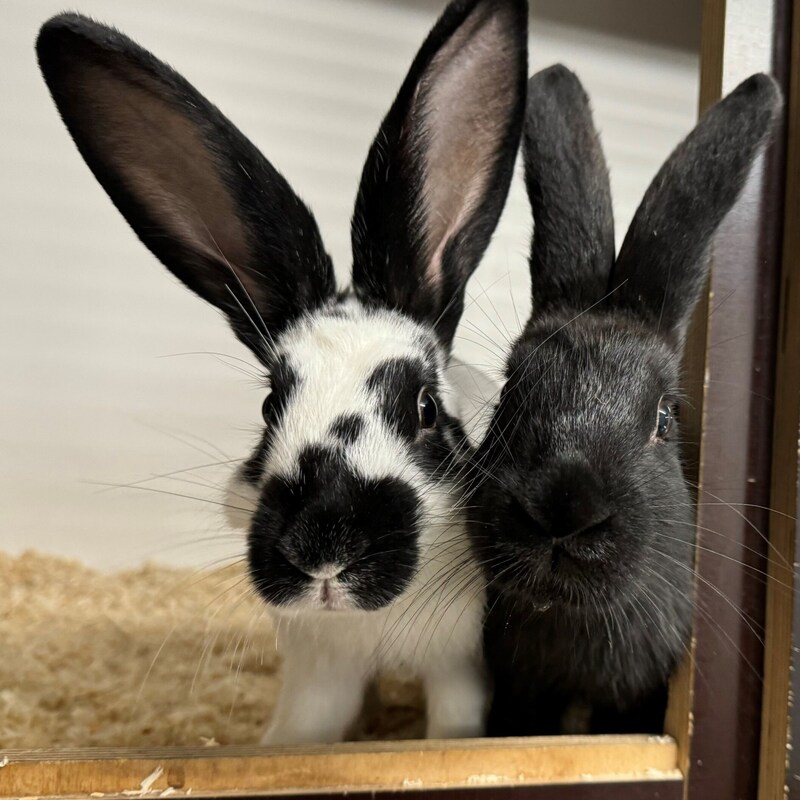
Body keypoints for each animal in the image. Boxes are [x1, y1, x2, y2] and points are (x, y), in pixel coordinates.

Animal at [36, 0, 524, 744]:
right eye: (270, 408)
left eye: (424, 410)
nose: (322, 550)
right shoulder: (318, 672)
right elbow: (302, 736)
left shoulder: (459, 668)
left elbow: (453, 731)